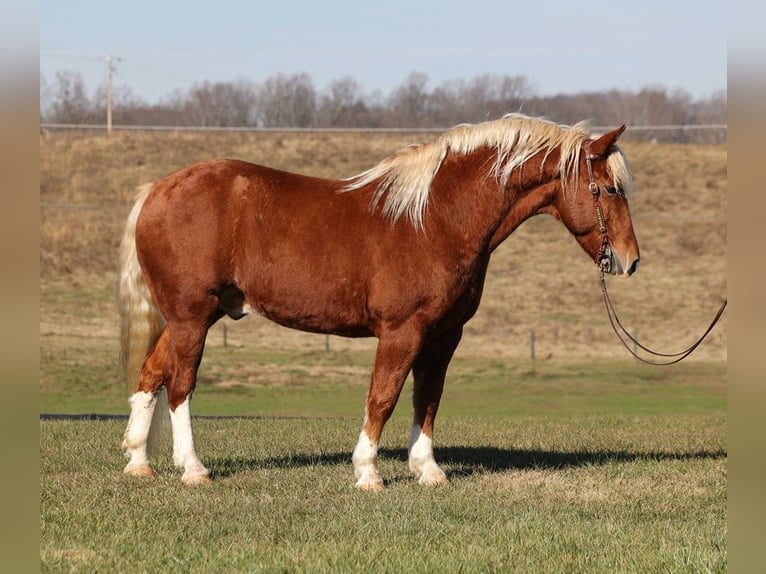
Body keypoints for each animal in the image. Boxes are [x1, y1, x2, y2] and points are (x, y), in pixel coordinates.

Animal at [120, 115, 640, 492]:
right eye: (610, 189)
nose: (630, 260)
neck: (436, 218)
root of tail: (156, 191)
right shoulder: (402, 331)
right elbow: (384, 397)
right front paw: (368, 472)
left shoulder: (444, 335)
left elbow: (427, 398)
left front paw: (428, 470)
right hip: (191, 318)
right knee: (180, 385)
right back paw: (192, 468)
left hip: (187, 318)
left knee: (151, 374)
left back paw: (139, 462)